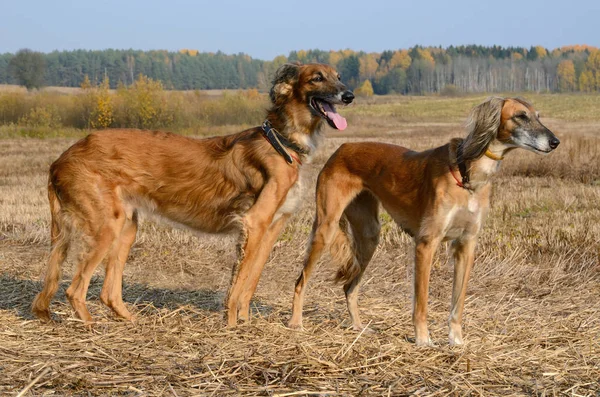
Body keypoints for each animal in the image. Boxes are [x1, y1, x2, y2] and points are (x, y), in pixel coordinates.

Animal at [32, 62, 354, 324]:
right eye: (316, 78)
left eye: (339, 76)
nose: (349, 95)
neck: (281, 142)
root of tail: (60, 159)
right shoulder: (255, 223)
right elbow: (238, 286)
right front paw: (232, 326)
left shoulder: (271, 228)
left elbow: (250, 282)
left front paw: (246, 323)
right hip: (106, 227)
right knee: (75, 289)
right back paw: (91, 326)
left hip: (126, 226)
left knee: (107, 293)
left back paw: (130, 321)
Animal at [288, 97, 560, 344]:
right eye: (521, 116)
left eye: (538, 116)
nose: (555, 142)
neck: (468, 172)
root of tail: (341, 148)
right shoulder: (426, 243)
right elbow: (421, 301)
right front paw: (423, 340)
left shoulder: (466, 245)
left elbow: (458, 303)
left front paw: (456, 342)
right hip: (326, 227)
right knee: (301, 281)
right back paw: (296, 323)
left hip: (369, 236)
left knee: (349, 287)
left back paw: (358, 327)